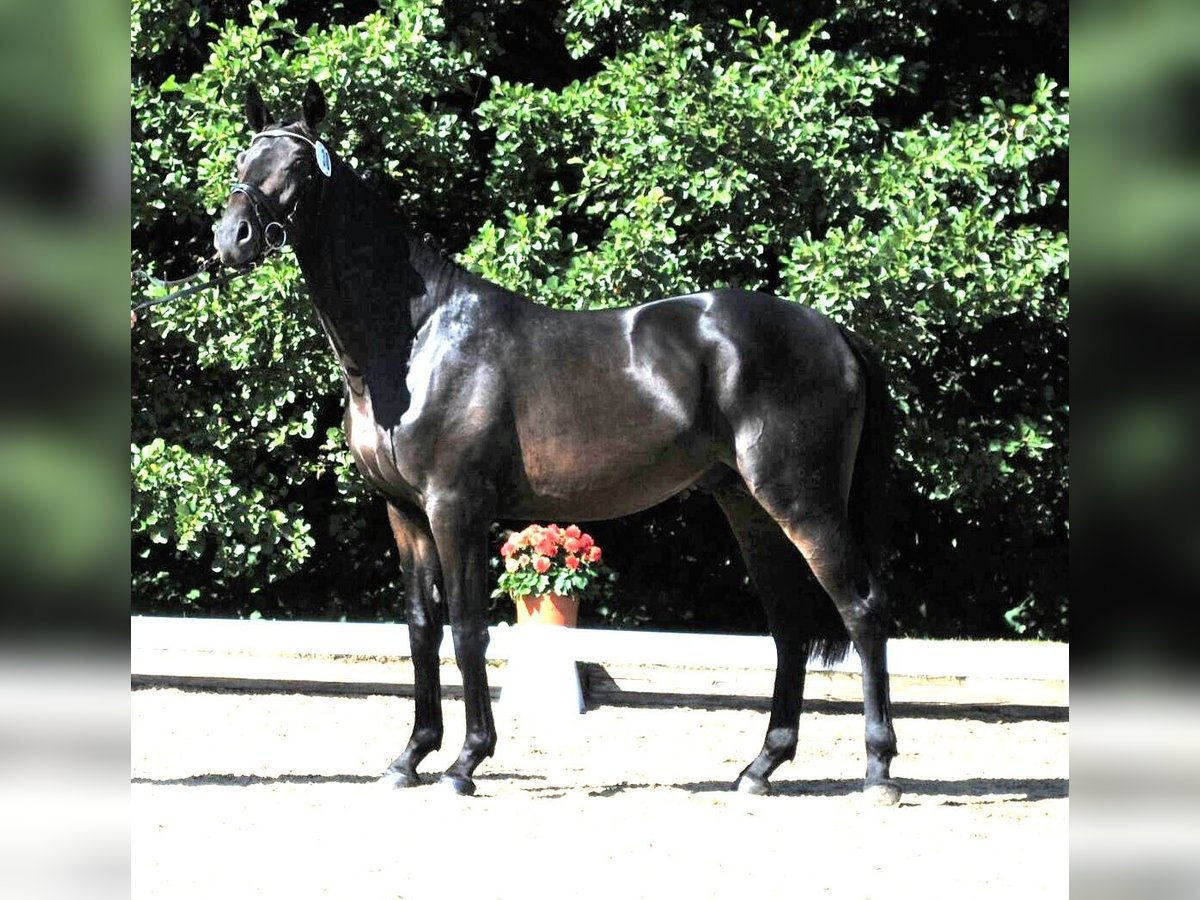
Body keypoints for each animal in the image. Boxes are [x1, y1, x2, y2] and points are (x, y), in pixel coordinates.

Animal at [208, 82, 902, 801]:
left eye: (294, 165)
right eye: (243, 156)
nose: (231, 237)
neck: (419, 340)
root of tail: (835, 333)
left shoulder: (457, 507)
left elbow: (468, 629)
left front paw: (465, 763)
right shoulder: (404, 512)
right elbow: (422, 628)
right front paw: (409, 758)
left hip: (802, 501)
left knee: (862, 610)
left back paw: (878, 771)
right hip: (747, 505)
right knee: (789, 626)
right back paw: (760, 767)